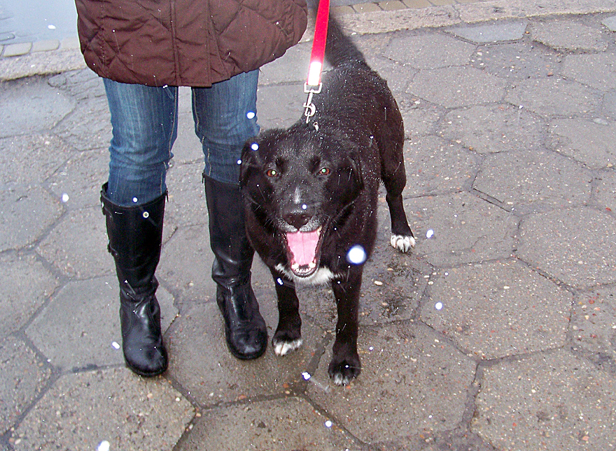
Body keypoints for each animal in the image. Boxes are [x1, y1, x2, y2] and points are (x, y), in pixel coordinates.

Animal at [241, 16, 414, 384]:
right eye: (272, 172)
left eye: (323, 170)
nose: (297, 215)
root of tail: (354, 66)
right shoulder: (276, 265)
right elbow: (286, 300)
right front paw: (288, 334)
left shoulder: (350, 271)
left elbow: (347, 321)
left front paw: (345, 361)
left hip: (394, 162)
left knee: (395, 196)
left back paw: (402, 232)